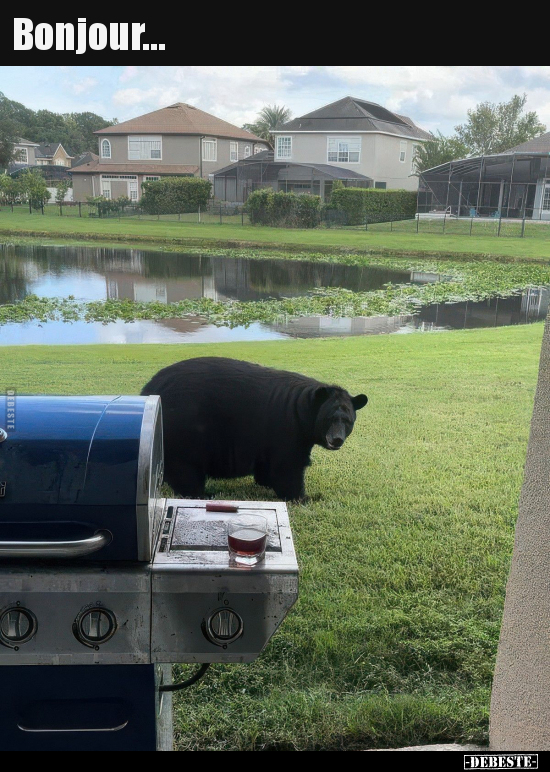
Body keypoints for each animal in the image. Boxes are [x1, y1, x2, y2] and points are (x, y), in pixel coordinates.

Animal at [141, 356, 366, 500]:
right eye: (328, 419)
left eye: (347, 421)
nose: (336, 439)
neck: (302, 409)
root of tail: (148, 390)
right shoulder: (287, 430)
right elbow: (288, 466)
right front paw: (305, 497)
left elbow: (268, 464)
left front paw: (265, 481)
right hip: (184, 429)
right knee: (185, 468)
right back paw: (200, 493)